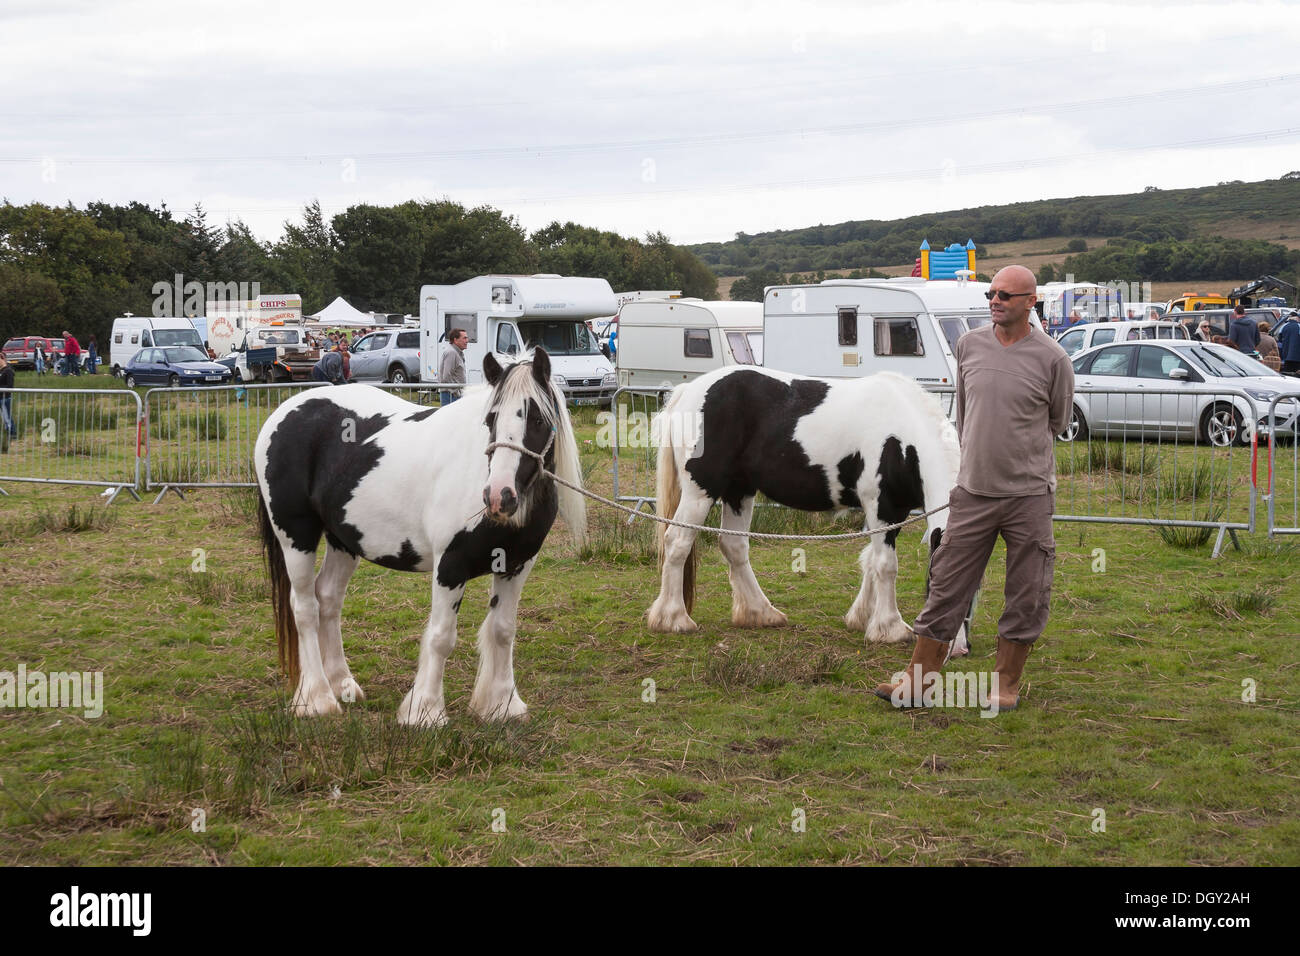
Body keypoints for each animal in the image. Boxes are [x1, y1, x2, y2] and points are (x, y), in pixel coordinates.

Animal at [252, 348, 585, 728]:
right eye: (491, 419)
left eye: (539, 421)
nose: (499, 496)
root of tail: (285, 411)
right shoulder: (450, 566)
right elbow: (441, 637)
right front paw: (425, 711)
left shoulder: (516, 565)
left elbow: (503, 630)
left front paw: (501, 705)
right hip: (296, 536)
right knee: (305, 608)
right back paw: (318, 699)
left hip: (343, 540)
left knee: (329, 599)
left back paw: (342, 684)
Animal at [647, 369, 967, 658]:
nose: (958, 649)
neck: (902, 435)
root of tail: (687, 391)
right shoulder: (881, 506)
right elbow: (886, 564)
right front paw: (890, 628)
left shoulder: (893, 510)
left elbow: (871, 560)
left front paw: (863, 617)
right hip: (700, 492)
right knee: (677, 542)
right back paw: (673, 619)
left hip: (739, 490)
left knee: (734, 546)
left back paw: (761, 612)